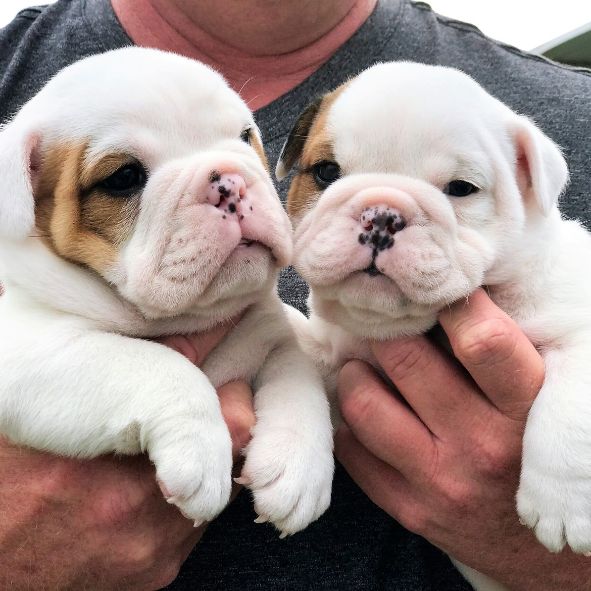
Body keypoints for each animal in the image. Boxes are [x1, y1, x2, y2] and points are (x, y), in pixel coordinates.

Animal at [0, 46, 336, 536]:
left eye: (244, 136)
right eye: (123, 178)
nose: (230, 179)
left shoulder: (271, 331)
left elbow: (298, 375)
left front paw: (300, 464)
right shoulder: (31, 354)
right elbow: (155, 363)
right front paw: (200, 448)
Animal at [278, 61, 591, 591]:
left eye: (461, 188)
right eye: (326, 173)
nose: (381, 215)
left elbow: (573, 403)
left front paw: (563, 503)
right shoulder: (332, 352)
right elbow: (293, 369)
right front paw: (295, 463)